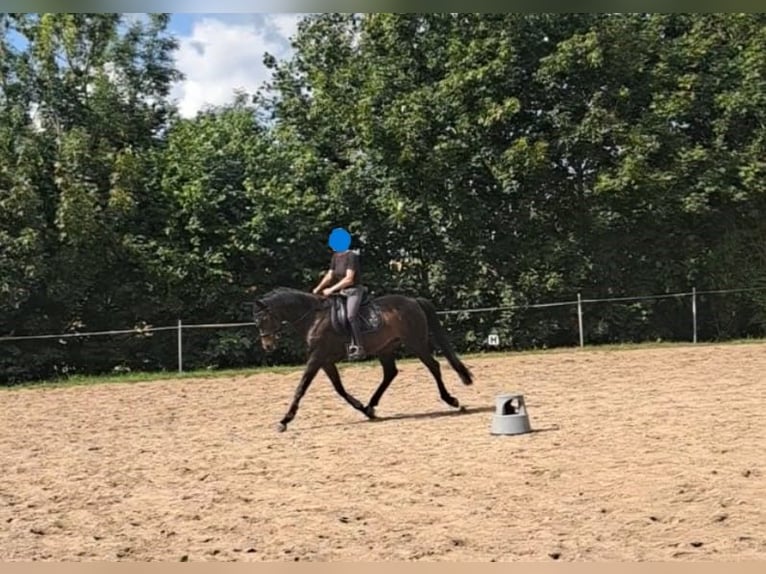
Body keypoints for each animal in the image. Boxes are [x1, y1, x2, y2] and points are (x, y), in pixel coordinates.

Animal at [252, 290, 474, 434]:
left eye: (264, 319)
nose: (268, 346)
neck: (314, 318)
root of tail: (413, 300)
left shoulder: (316, 358)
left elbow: (301, 387)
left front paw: (284, 420)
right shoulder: (325, 361)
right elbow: (339, 389)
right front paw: (361, 408)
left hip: (415, 343)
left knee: (433, 366)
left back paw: (451, 400)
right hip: (386, 348)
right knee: (390, 373)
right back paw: (370, 406)